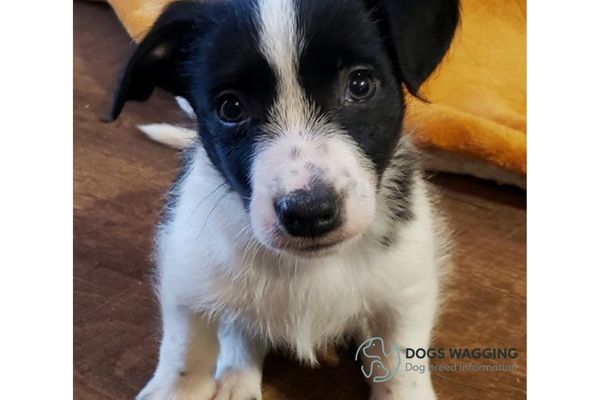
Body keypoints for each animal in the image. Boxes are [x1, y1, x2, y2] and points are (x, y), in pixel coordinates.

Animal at [109, 0, 460, 400]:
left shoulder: (408, 287)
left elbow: (402, 366)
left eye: (360, 84)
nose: (309, 214)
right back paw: (236, 379)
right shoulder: (188, 274)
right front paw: (176, 388)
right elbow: (186, 351)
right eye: (230, 108)